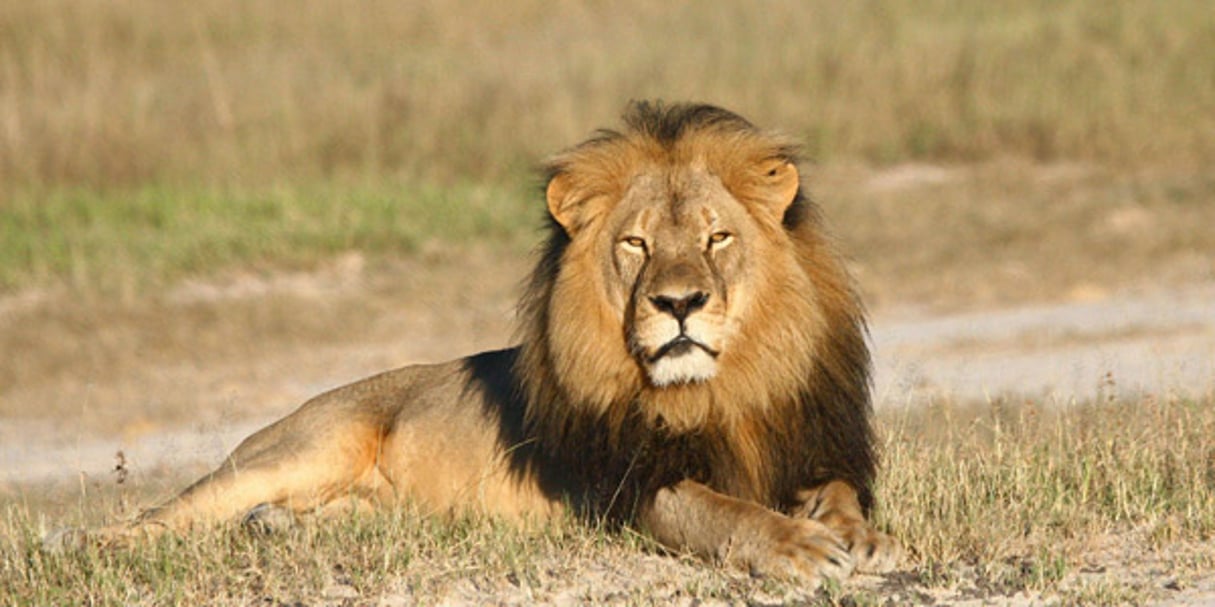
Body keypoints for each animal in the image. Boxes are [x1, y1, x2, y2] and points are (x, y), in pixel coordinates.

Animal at [66, 101, 903, 585]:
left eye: (716, 237)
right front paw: (796, 547)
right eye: (634, 244)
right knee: (170, 511)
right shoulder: (627, 488)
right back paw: (89, 546)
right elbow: (719, 512)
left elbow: (839, 492)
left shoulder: (809, 446)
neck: (719, 389)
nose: (678, 303)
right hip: (301, 446)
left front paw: (858, 536)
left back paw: (275, 525)